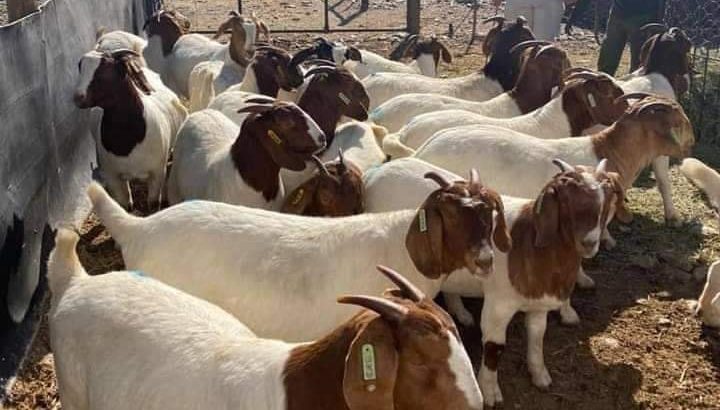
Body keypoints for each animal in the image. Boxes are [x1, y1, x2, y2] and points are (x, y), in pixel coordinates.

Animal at [73, 49, 187, 211]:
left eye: (104, 71)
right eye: (80, 67)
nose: (78, 97)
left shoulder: (157, 172)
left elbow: (153, 204)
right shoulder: (112, 175)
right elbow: (125, 205)